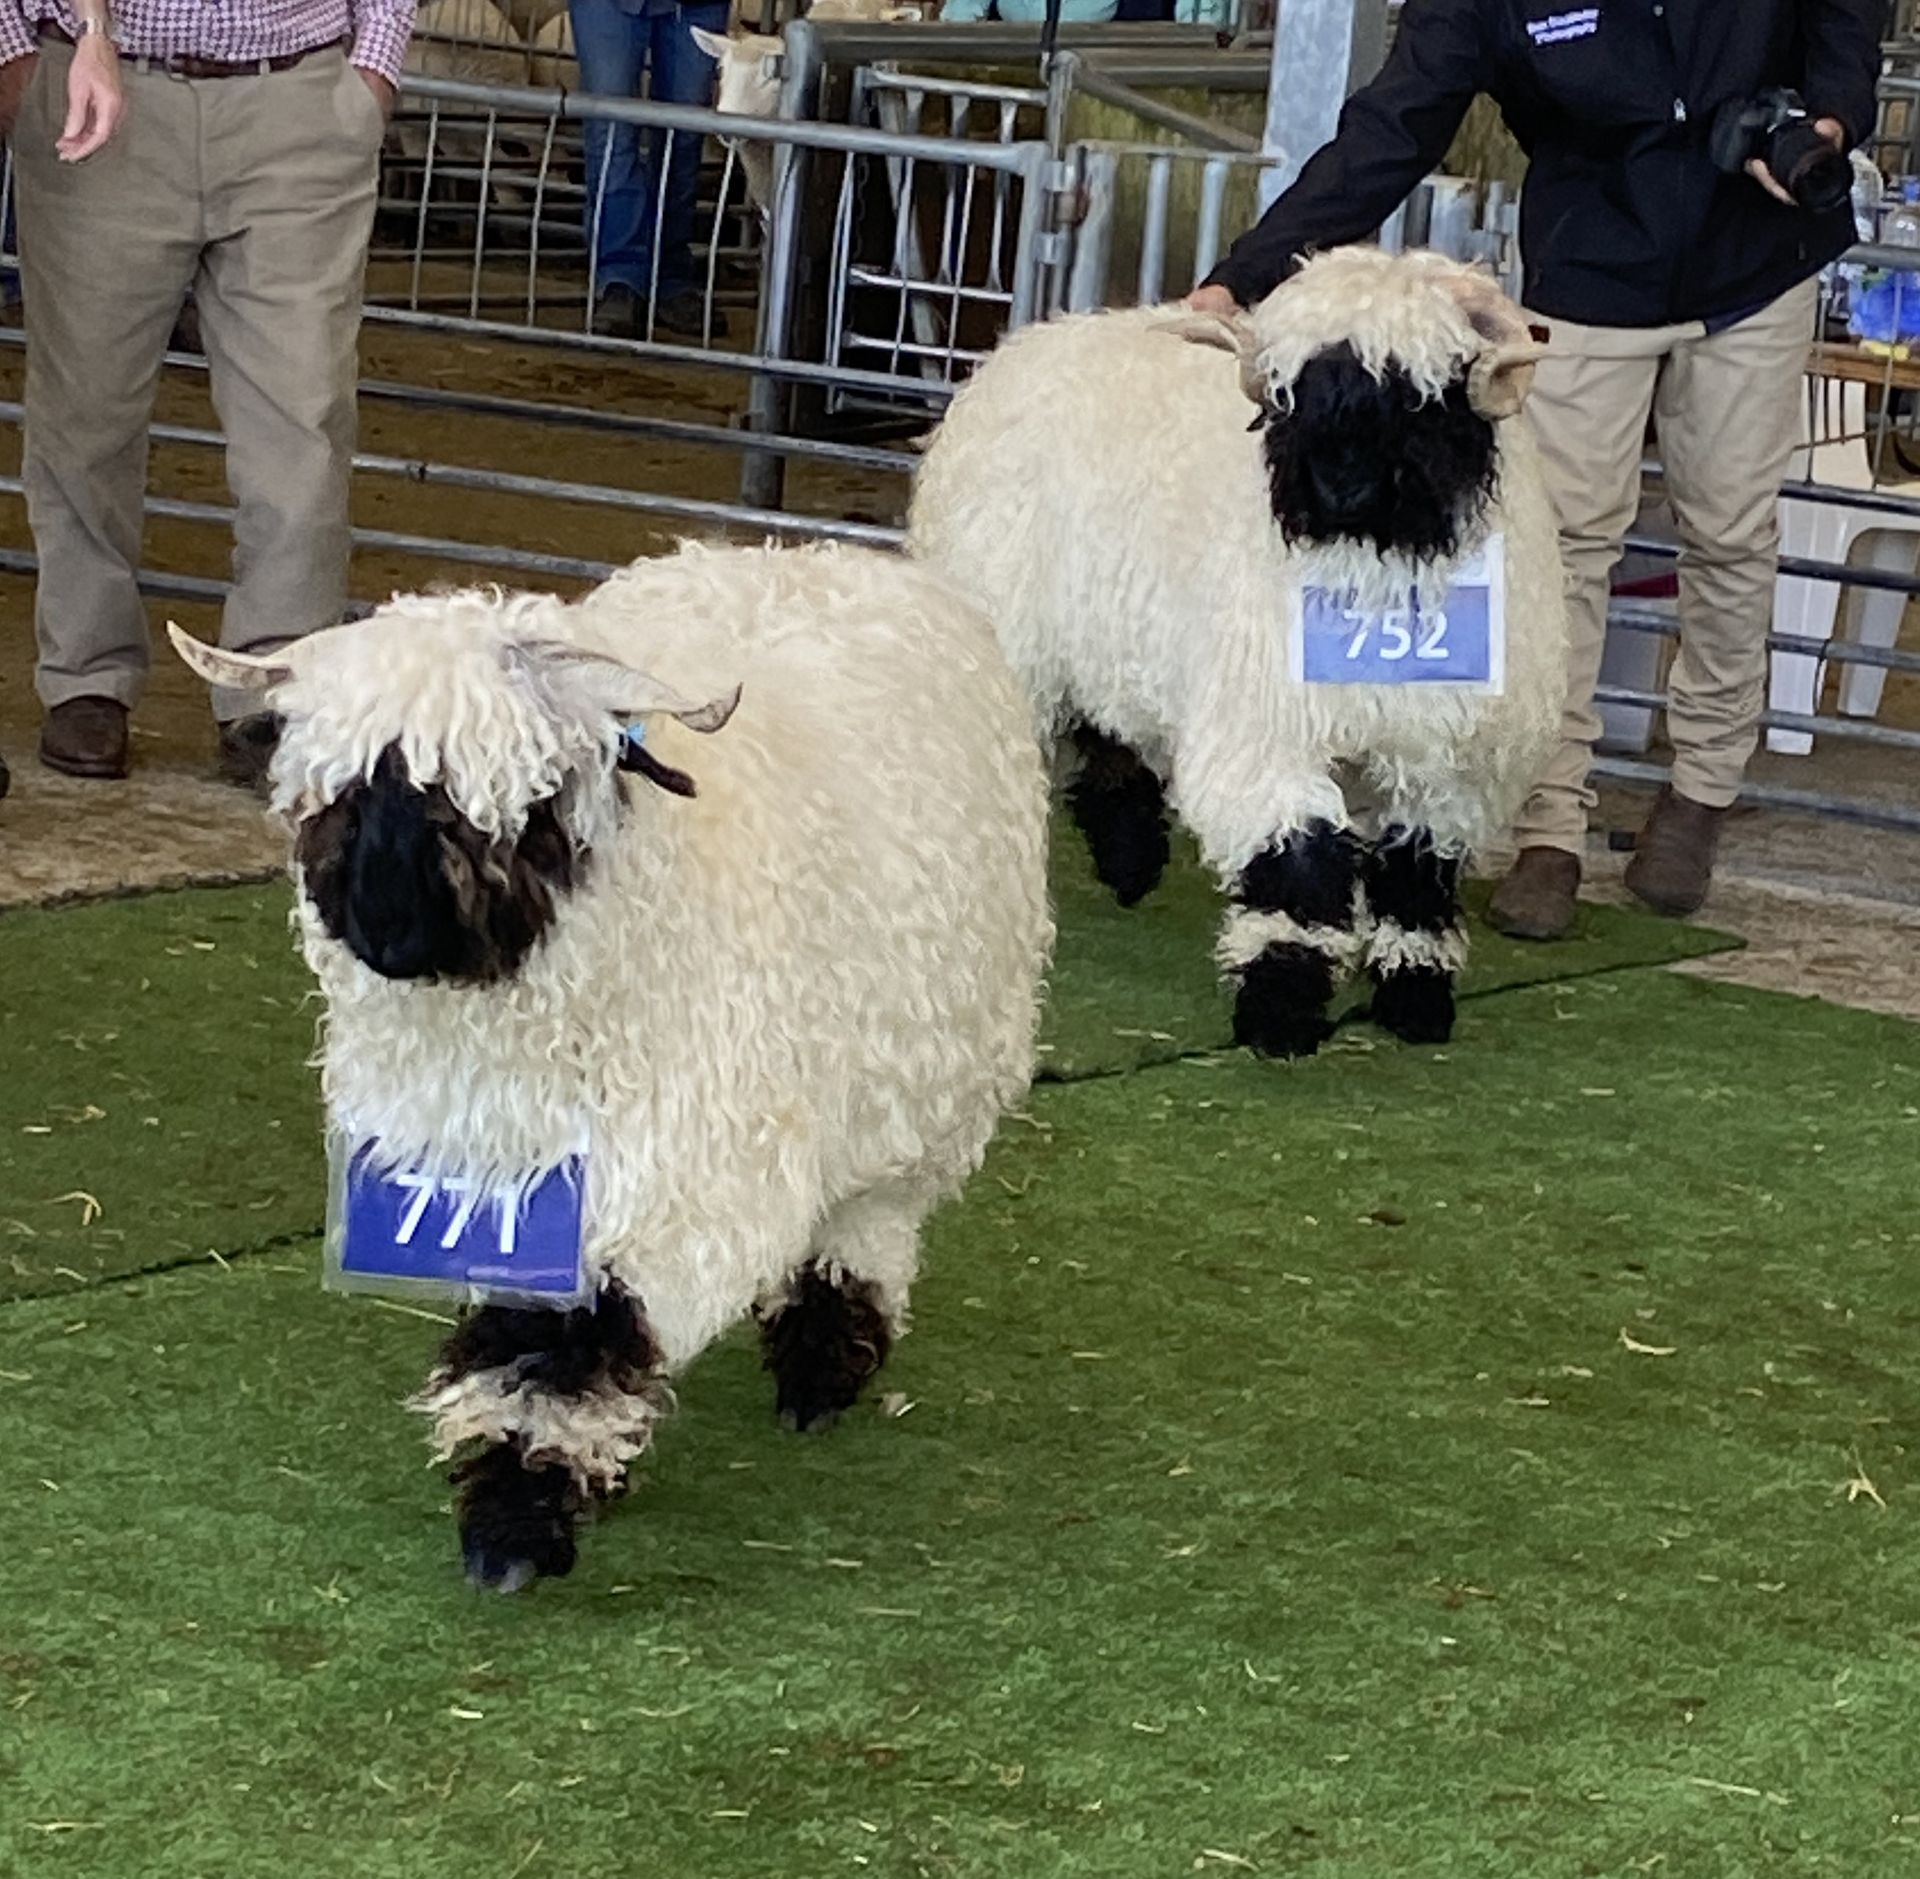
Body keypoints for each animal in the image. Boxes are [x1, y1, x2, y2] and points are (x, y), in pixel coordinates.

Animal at [172, 537, 1059, 1596]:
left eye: (522, 801)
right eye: (338, 795)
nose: (386, 930)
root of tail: (817, 555)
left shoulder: (678, 1171)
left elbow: (576, 1339)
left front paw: (513, 1523)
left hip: (919, 1091)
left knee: (867, 1226)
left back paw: (821, 1367)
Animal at [906, 242, 1566, 1059]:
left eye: (1420, 393)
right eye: (1292, 395)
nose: (1336, 486)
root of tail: (1032, 338)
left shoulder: (1451, 764)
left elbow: (1418, 881)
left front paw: (1415, 1001)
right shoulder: (1268, 730)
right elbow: (1298, 868)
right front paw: (1280, 1010)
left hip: (1105, 637)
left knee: (1109, 737)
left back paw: (1129, 864)